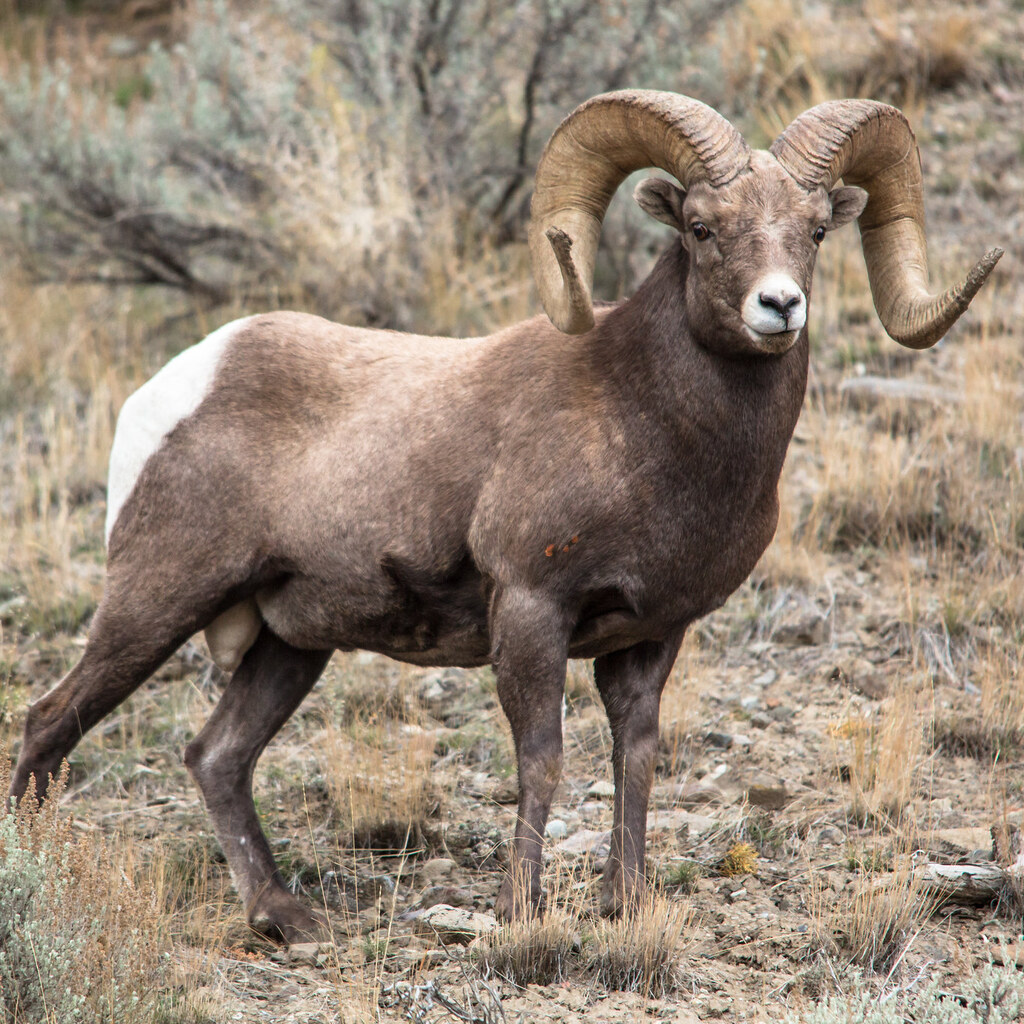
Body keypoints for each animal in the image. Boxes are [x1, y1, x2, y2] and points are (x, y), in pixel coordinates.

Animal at [10, 91, 1001, 943]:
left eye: (817, 230)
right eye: (701, 227)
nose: (779, 306)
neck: (644, 424)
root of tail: (175, 384)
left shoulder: (651, 639)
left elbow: (635, 761)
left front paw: (626, 903)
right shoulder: (530, 612)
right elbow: (543, 760)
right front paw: (522, 912)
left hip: (289, 646)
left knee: (216, 756)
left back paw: (285, 918)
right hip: (154, 603)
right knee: (50, 724)